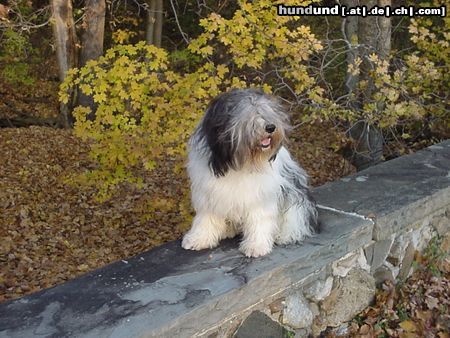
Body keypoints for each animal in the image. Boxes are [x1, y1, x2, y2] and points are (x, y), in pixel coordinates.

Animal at [181, 88, 318, 258]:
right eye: (249, 115)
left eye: (267, 112)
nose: (271, 127)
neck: (239, 164)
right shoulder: (209, 195)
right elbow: (206, 218)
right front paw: (198, 239)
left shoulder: (259, 195)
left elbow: (259, 220)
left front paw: (256, 246)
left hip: (295, 197)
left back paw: (284, 235)